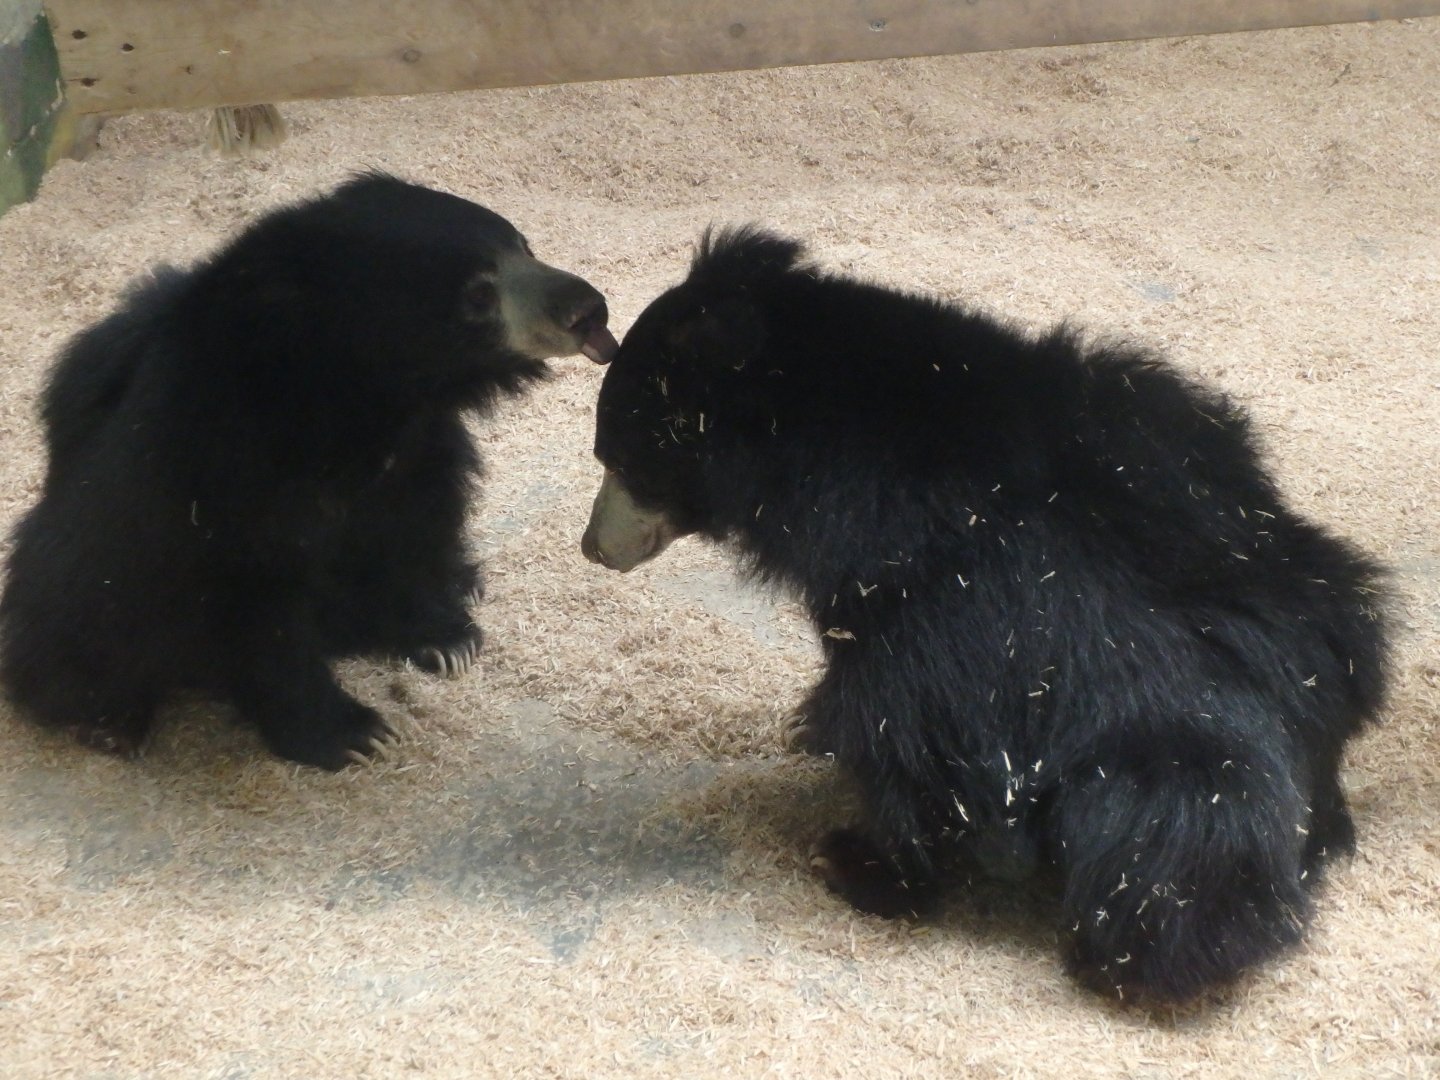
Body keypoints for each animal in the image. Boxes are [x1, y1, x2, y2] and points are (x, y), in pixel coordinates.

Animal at [0, 173, 617, 770]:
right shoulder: (225, 477)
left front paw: (446, 640)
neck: (363, 400)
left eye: (523, 247)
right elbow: (254, 606)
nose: (588, 309)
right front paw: (352, 734)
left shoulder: (415, 451)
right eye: (478, 295)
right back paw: (109, 722)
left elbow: (412, 529)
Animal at [580, 227, 1390, 1004]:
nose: (593, 547)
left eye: (620, 459)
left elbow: (914, 736)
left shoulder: (937, 599)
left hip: (1172, 786)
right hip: (1321, 606)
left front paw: (865, 858)